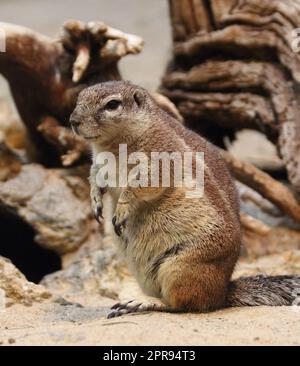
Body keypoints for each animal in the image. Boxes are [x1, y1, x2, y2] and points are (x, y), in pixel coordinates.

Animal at [71, 81, 300, 318]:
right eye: (78, 98)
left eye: (112, 104)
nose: (73, 121)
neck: (112, 144)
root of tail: (223, 290)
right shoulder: (99, 165)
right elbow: (94, 177)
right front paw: (95, 201)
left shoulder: (159, 160)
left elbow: (141, 187)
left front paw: (121, 210)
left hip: (180, 267)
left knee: (184, 303)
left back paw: (143, 303)